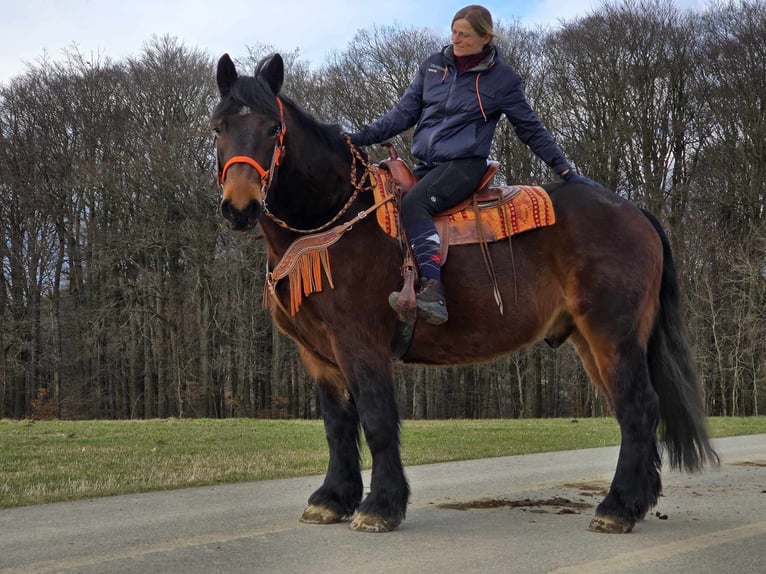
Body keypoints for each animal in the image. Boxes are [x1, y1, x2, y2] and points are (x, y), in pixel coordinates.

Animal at [212, 54, 720, 536]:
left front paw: (380, 506)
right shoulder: (318, 354)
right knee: (632, 408)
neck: (336, 219)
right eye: (219, 127)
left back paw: (617, 508)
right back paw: (634, 502)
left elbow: (376, 419)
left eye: (272, 128)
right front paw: (333, 499)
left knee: (638, 407)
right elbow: (338, 425)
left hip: (612, 333)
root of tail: (634, 211)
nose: (240, 206)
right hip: (592, 340)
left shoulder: (359, 342)